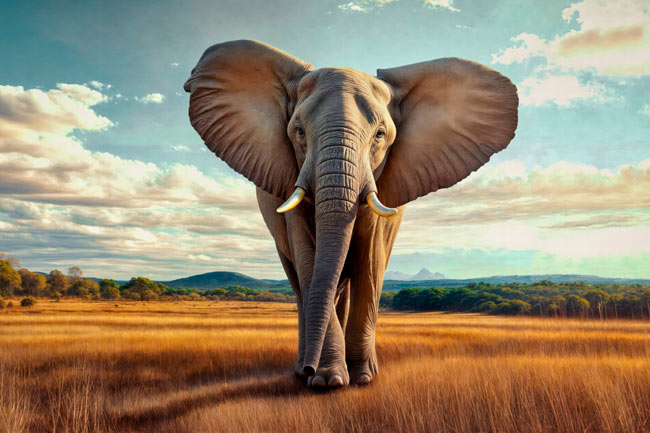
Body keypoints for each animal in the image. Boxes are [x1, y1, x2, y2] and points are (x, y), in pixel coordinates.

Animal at [184, 40, 518, 389]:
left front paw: (362, 378)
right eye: (299, 132)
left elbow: (369, 261)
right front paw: (326, 381)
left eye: (380, 135)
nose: (309, 370)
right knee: (301, 284)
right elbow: (309, 261)